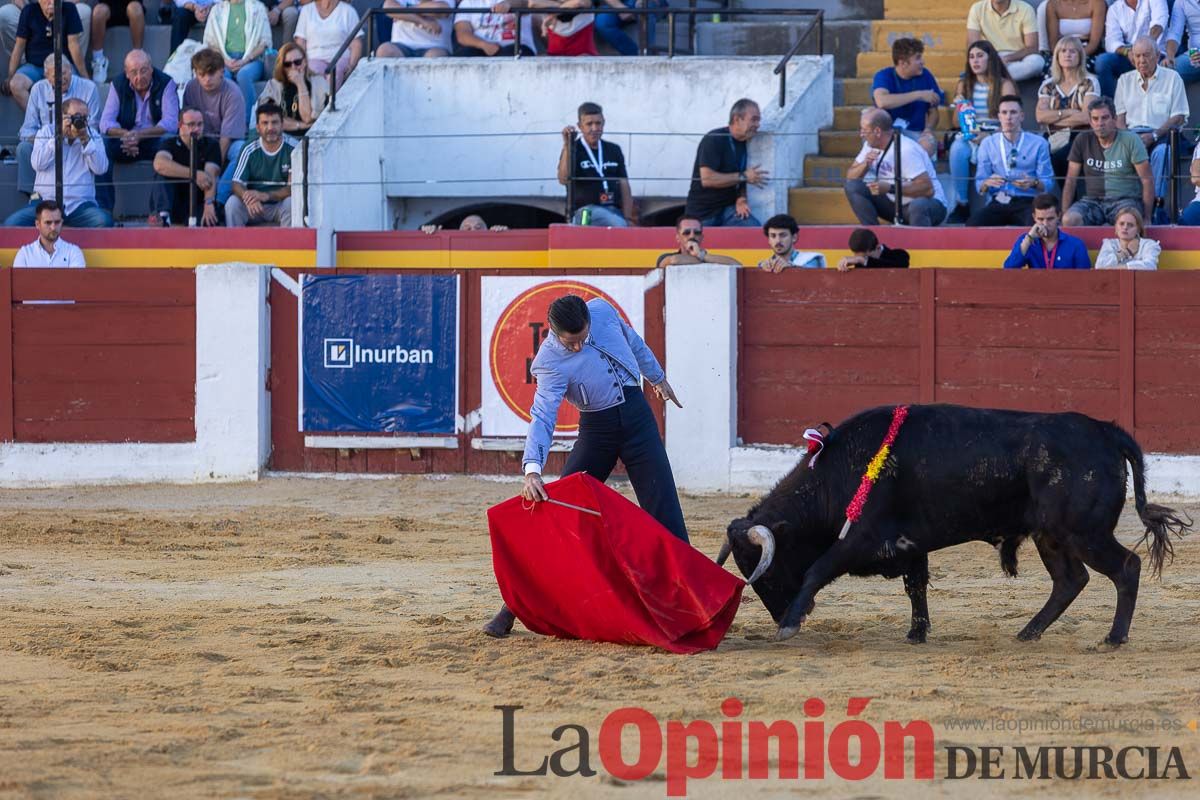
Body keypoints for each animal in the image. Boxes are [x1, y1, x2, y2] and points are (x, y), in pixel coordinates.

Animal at [720, 402, 1190, 647]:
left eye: (766, 572)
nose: (778, 612)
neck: (839, 471)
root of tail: (1108, 432)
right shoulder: (909, 544)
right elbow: (916, 586)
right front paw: (917, 633)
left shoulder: (863, 537)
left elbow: (818, 569)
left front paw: (790, 625)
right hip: (1051, 536)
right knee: (1070, 581)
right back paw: (1028, 632)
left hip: (1083, 532)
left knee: (1125, 568)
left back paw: (1113, 637)